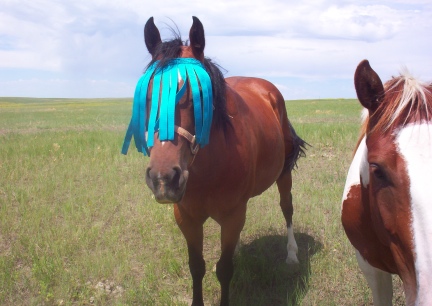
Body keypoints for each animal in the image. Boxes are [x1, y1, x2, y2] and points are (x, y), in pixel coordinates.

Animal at [121, 17, 308, 306]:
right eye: (147, 94)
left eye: (199, 92)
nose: (164, 179)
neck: (208, 170)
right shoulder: (186, 217)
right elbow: (196, 266)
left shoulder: (232, 215)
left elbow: (224, 269)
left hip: (283, 174)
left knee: (287, 208)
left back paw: (291, 254)